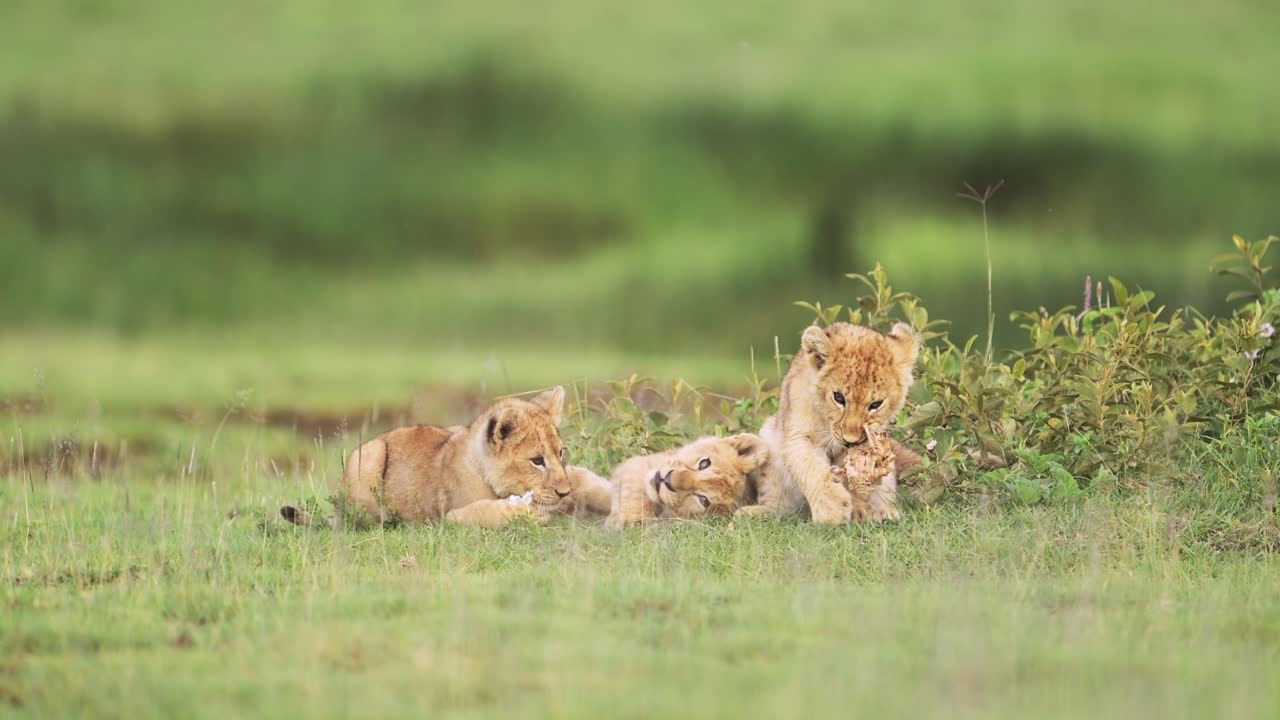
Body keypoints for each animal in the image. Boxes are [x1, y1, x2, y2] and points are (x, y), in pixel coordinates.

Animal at [280, 386, 601, 528]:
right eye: (537, 460)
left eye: (560, 452)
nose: (565, 492)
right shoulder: (449, 516)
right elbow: (483, 512)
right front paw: (530, 512)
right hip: (368, 456)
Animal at [606, 434, 768, 528]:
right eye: (704, 463)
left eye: (703, 500)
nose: (668, 479)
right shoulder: (639, 464)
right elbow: (634, 491)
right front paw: (631, 519)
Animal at [736, 322, 921, 524]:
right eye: (838, 397)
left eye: (876, 404)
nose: (850, 440)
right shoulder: (799, 436)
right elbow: (812, 469)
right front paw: (832, 511)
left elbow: (855, 479)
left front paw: (861, 510)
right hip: (769, 439)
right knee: (782, 507)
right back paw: (756, 513)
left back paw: (886, 513)